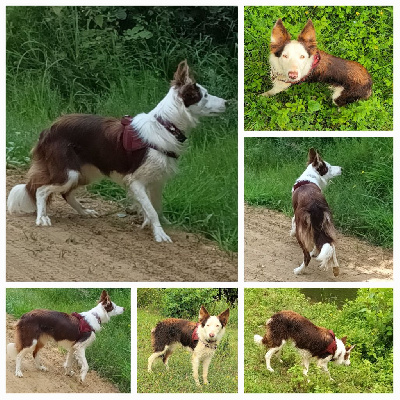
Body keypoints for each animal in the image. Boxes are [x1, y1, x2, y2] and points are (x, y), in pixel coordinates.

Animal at [6, 59, 227, 241]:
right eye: (204, 95)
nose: (228, 102)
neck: (166, 125)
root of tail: (49, 128)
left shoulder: (157, 181)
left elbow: (155, 208)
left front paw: (154, 225)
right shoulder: (136, 181)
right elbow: (151, 210)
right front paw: (159, 234)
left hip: (86, 172)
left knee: (65, 194)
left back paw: (84, 212)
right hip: (69, 172)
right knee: (41, 190)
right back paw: (42, 217)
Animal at [290, 148, 342, 276]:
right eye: (329, 167)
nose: (341, 168)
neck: (310, 177)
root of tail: (315, 206)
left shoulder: (296, 214)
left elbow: (292, 220)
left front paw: (291, 232)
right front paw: (315, 251)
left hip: (302, 232)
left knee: (306, 256)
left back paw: (299, 270)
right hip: (327, 224)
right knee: (331, 245)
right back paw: (335, 269)